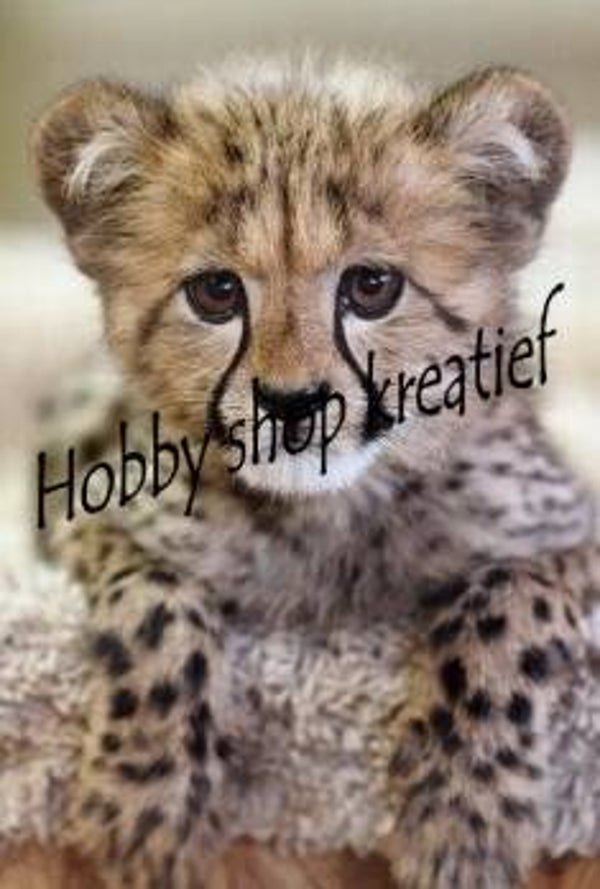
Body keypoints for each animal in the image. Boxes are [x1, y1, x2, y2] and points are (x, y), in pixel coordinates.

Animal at [31, 55, 600, 889]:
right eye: (216, 293)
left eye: (372, 286)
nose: (292, 403)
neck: (333, 514)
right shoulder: (89, 518)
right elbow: (157, 604)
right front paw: (150, 801)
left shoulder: (571, 535)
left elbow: (506, 598)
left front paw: (462, 808)